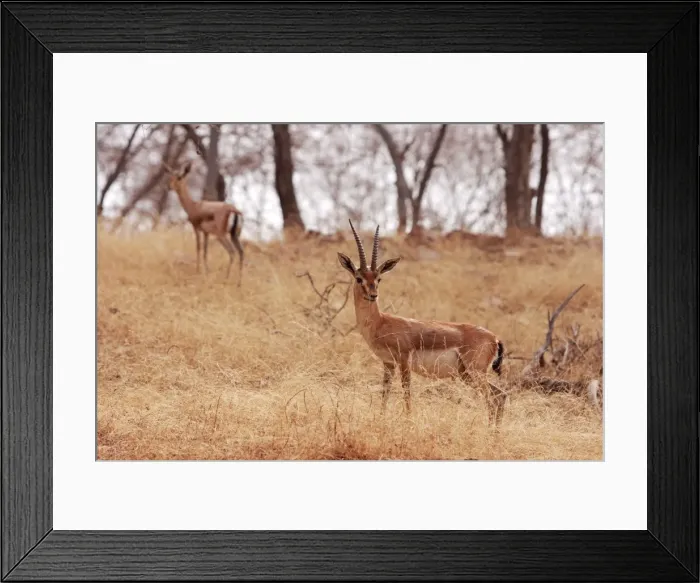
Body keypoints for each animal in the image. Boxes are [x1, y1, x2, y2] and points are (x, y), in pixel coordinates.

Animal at [337, 221, 507, 425]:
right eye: (359, 278)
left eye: (378, 278)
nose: (373, 295)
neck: (381, 322)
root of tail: (494, 338)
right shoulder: (388, 363)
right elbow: (385, 393)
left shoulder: (404, 360)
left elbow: (406, 392)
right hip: (467, 374)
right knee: (500, 395)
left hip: (475, 373)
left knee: (492, 399)